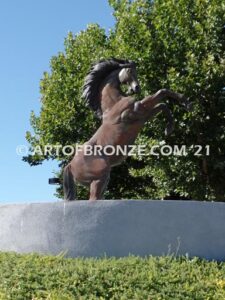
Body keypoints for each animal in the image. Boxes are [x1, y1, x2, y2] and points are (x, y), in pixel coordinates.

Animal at [63, 57, 192, 200]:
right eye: (130, 71)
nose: (137, 88)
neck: (114, 104)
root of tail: (70, 165)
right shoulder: (135, 112)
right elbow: (161, 93)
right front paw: (187, 103)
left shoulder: (143, 117)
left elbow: (162, 104)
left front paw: (169, 127)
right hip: (99, 178)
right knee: (93, 199)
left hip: (103, 179)